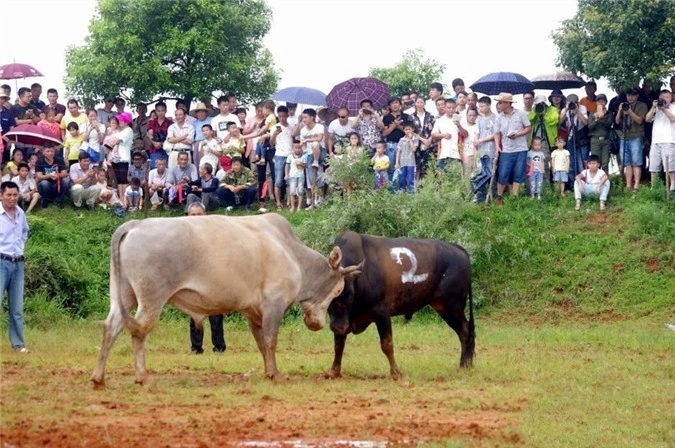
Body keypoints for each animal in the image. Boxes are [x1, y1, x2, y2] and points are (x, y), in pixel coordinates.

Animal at [93, 213, 364, 384]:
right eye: (338, 291)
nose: (317, 324)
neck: (292, 254)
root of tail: (135, 224)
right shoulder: (274, 304)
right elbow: (271, 340)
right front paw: (276, 374)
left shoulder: (254, 311)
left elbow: (262, 343)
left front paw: (268, 371)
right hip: (151, 298)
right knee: (139, 331)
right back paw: (142, 377)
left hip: (124, 294)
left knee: (111, 327)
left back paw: (99, 377)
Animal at [328, 233, 476, 380]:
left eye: (351, 295)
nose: (338, 327)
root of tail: (457, 248)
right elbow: (338, 345)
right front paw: (334, 371)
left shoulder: (382, 312)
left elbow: (386, 344)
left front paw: (396, 372)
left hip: (451, 306)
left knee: (465, 332)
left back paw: (464, 365)